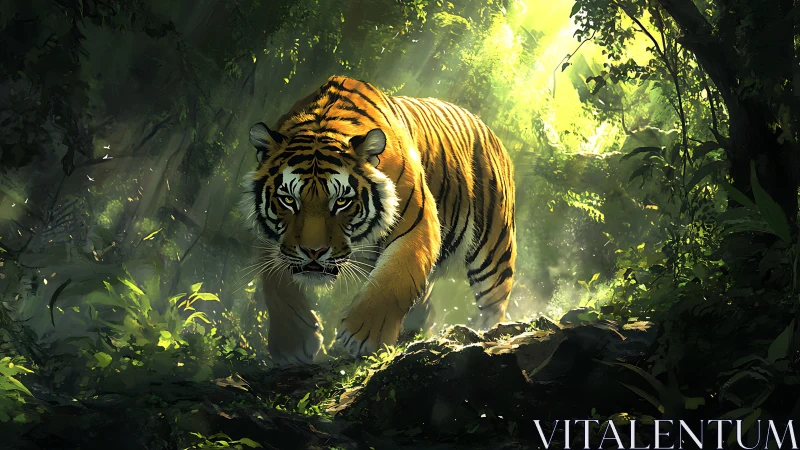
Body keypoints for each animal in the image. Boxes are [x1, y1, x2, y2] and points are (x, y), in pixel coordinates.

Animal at [241, 75, 516, 366]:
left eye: (341, 201)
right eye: (288, 200)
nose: (313, 252)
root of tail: (488, 129)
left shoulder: (419, 223)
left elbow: (396, 277)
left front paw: (362, 337)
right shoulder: (272, 239)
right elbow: (278, 288)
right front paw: (293, 345)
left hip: (493, 251)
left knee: (494, 303)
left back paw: (484, 331)